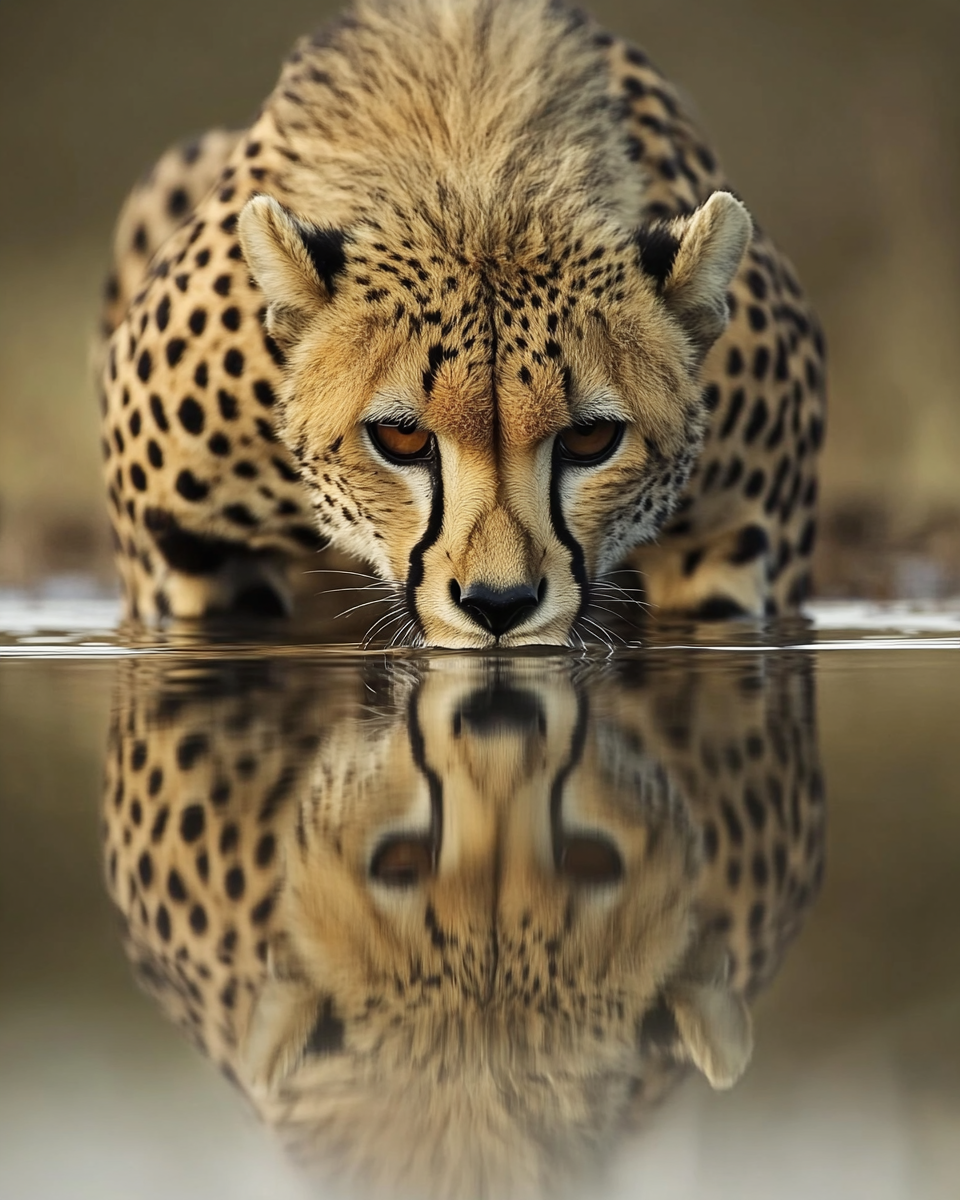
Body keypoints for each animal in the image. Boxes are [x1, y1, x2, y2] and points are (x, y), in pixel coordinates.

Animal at [97, 0, 826, 647]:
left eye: (591, 438)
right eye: (399, 436)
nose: (498, 605)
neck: (478, 179)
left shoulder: (739, 552)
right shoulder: (180, 562)